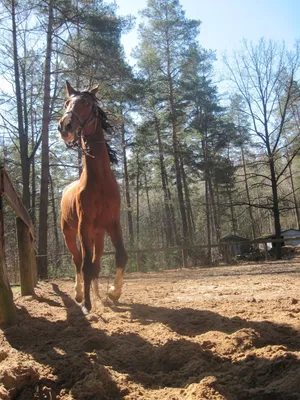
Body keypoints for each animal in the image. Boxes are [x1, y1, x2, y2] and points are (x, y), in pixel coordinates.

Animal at [57, 80, 127, 312]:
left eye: (87, 103)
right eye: (67, 103)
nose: (65, 126)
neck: (101, 182)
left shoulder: (112, 224)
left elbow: (120, 256)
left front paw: (113, 293)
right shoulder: (84, 227)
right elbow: (85, 264)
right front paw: (86, 304)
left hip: (98, 234)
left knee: (95, 263)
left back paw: (98, 296)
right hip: (69, 233)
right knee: (78, 261)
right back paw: (80, 294)